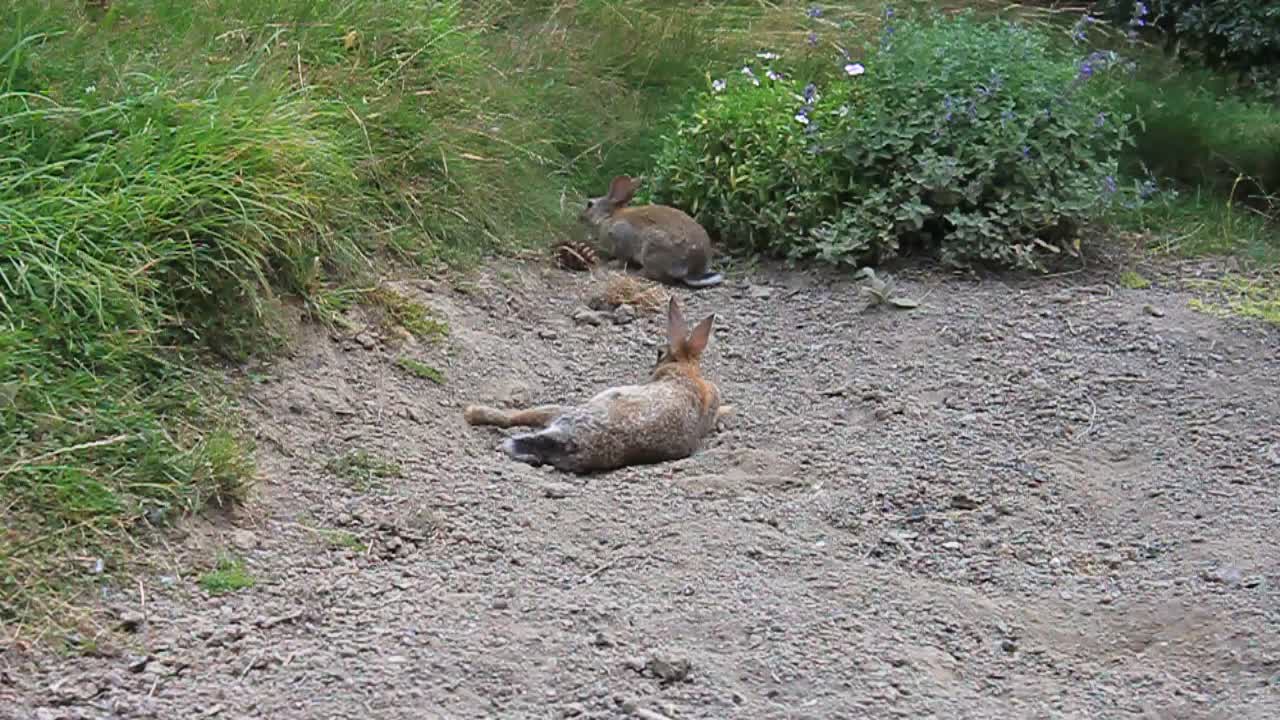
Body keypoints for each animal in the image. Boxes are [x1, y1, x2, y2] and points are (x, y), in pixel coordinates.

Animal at [463, 295, 727, 471]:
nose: (651, 370)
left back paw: (474, 413)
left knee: (516, 418)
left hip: (570, 410)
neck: (687, 370)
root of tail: (574, 442)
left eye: (659, 353)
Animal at [578, 174, 721, 285]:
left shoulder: (621, 236)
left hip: (652, 248)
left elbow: (622, 258)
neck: (609, 216)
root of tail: (691, 270)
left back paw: (638, 273)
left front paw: (612, 264)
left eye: (589, 204)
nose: (579, 217)